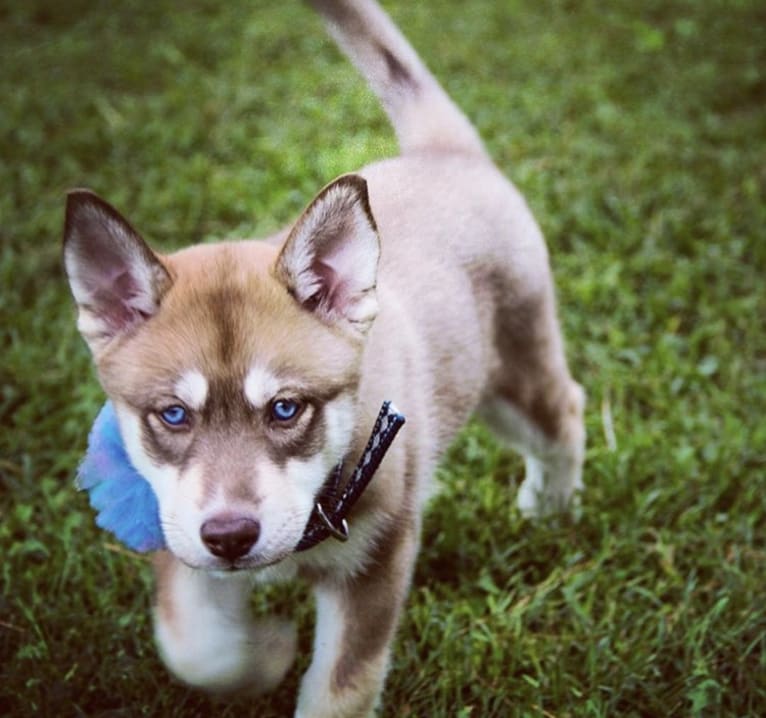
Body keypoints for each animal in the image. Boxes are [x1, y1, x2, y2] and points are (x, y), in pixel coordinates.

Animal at [63, 1, 588, 718]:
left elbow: (342, 686)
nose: (231, 536)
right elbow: (195, 648)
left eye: (286, 409)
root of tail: (442, 153)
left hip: (513, 373)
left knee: (564, 412)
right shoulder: (175, 527)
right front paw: (263, 654)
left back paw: (551, 504)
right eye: (173, 415)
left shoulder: (375, 560)